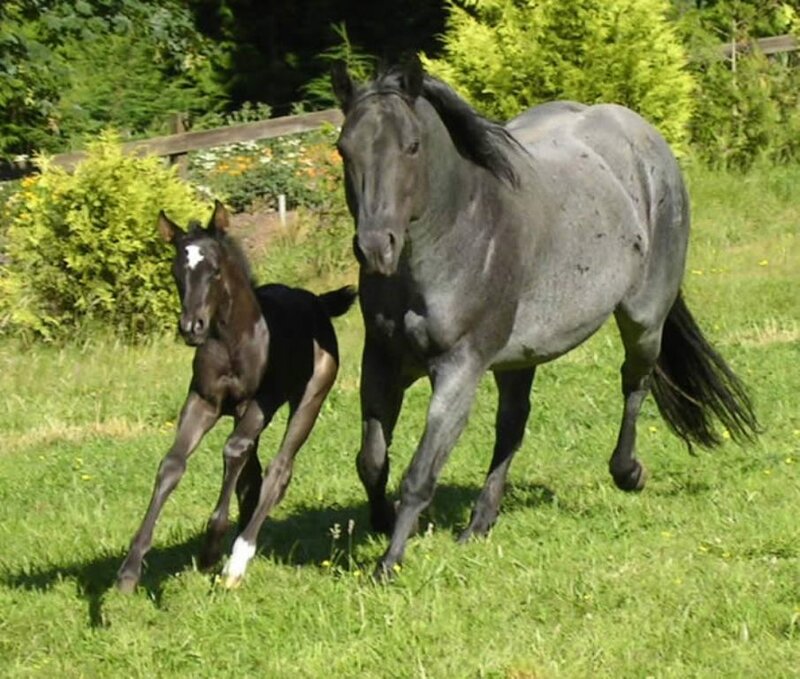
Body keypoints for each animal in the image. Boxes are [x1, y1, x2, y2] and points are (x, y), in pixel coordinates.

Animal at [116, 201, 356, 591]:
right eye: (176, 272)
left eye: (214, 272)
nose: (192, 328)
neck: (232, 342)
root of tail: (317, 301)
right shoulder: (203, 401)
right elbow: (172, 464)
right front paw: (130, 568)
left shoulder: (260, 404)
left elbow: (233, 451)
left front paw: (211, 547)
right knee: (254, 475)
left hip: (311, 397)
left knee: (278, 468)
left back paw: (239, 557)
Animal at [330, 56, 759, 579]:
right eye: (344, 148)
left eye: (411, 146)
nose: (376, 247)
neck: (461, 229)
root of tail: (640, 133)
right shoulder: (382, 363)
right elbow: (371, 460)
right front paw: (381, 521)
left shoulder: (459, 369)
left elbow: (419, 474)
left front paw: (388, 561)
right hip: (520, 357)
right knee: (513, 426)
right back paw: (479, 524)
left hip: (643, 320)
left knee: (634, 383)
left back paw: (629, 473)